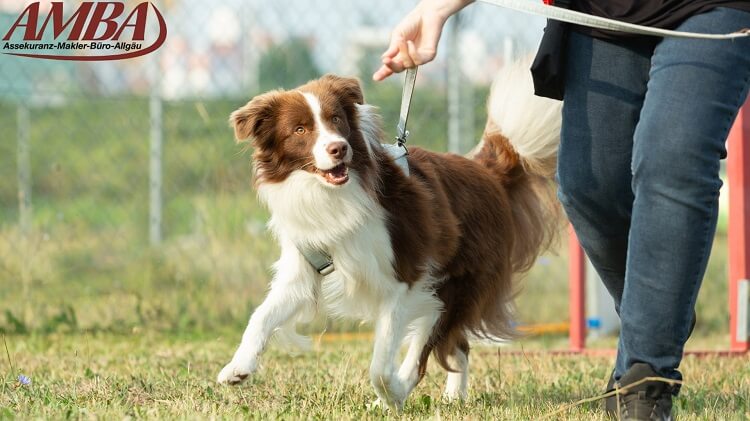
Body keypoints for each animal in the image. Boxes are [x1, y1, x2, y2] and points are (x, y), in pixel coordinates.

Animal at [217, 60, 564, 408]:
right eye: (300, 129)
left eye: (337, 119)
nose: (339, 148)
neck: (334, 194)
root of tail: (487, 171)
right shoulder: (304, 267)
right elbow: (261, 315)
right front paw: (238, 366)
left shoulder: (404, 278)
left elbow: (381, 364)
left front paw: (393, 393)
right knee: (457, 345)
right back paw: (453, 397)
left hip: (453, 285)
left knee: (429, 348)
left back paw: (401, 391)